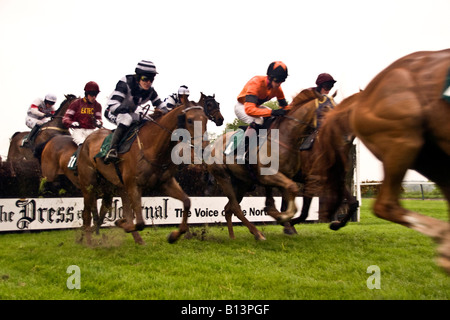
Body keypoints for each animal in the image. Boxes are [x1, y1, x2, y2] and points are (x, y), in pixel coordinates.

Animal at [78, 100, 208, 245]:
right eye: (189, 120)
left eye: (206, 119)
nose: (203, 148)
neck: (152, 148)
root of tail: (86, 141)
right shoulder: (133, 185)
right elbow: (140, 223)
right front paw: (121, 223)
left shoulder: (164, 183)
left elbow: (186, 202)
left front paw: (174, 235)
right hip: (89, 185)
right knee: (86, 213)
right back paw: (88, 241)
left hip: (115, 187)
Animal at [206, 89, 322, 239]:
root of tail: (214, 145)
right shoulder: (270, 176)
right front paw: (282, 220)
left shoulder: (286, 176)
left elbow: (290, 196)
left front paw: (282, 219)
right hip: (223, 177)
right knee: (235, 207)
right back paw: (257, 233)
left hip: (242, 182)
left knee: (228, 208)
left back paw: (233, 237)